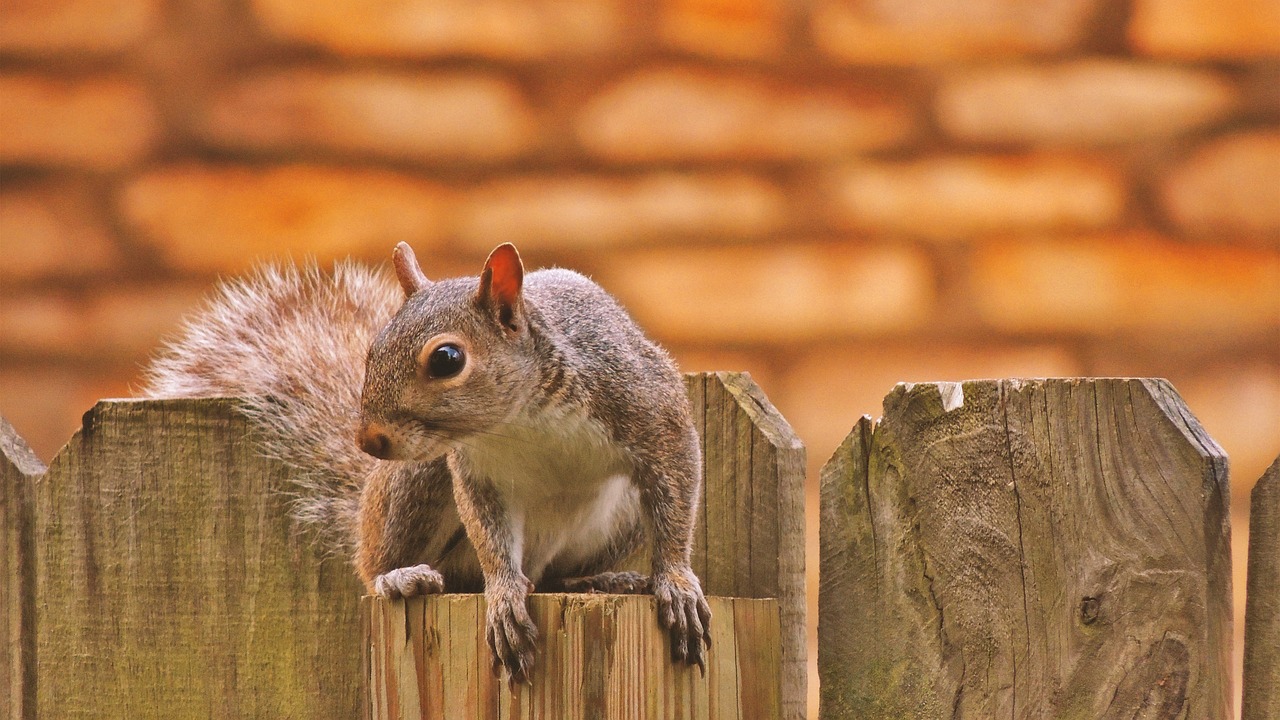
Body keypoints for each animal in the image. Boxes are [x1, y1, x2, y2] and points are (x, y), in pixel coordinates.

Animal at [147, 242, 721, 681]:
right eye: (372, 349)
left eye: (447, 359)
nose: (369, 440)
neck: (523, 420)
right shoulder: (475, 472)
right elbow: (491, 537)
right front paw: (503, 595)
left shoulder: (651, 411)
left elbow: (676, 491)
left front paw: (675, 582)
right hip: (419, 477)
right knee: (377, 568)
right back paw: (398, 577)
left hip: (616, 520)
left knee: (555, 576)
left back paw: (599, 581)